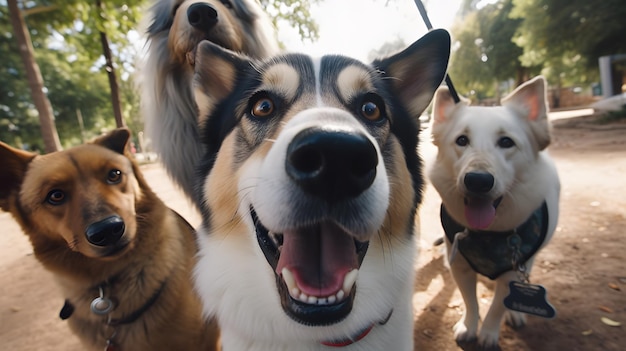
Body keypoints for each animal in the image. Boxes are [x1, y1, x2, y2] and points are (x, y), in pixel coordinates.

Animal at [426, 75, 560, 350]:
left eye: (506, 142)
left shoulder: (513, 271)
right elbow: (471, 302)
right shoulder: (460, 267)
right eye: (462, 140)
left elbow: (498, 306)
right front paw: (469, 327)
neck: (488, 235)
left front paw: (488, 333)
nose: (478, 181)